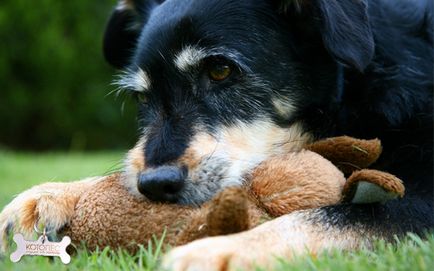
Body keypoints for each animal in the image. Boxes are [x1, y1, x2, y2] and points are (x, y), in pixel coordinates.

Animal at [0, 0, 434, 270]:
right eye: (142, 97)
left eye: (221, 70)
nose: (156, 185)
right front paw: (50, 194)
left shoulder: (423, 201)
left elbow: (337, 215)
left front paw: (223, 249)